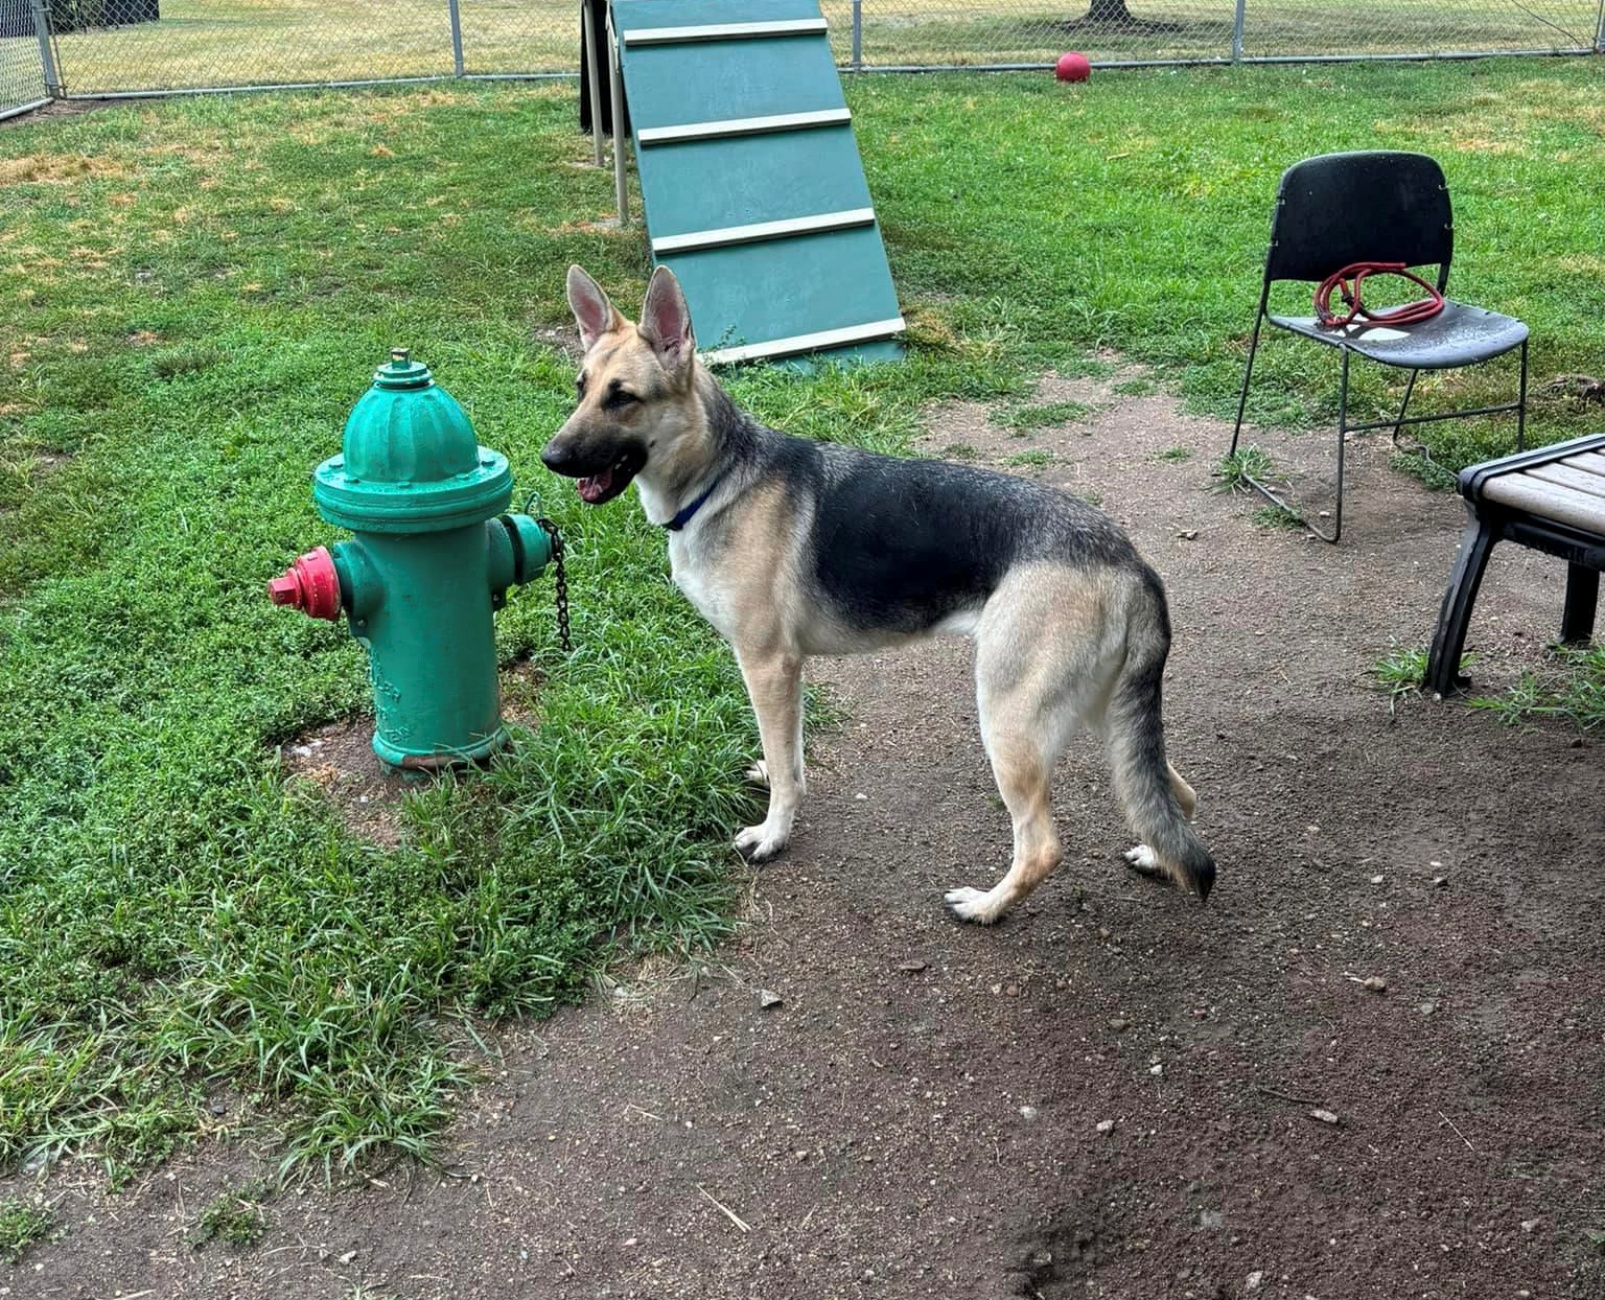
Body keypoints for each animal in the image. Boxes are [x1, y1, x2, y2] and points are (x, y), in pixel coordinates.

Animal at [545, 263, 1206, 918]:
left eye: (622, 397)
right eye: (581, 389)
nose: (550, 457)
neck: (720, 477)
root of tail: (1129, 560)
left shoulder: (766, 665)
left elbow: (786, 767)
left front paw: (774, 834)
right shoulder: (787, 673)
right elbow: (789, 756)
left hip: (1010, 720)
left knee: (1043, 846)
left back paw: (986, 906)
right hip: (1103, 714)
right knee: (1175, 792)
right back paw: (1158, 857)